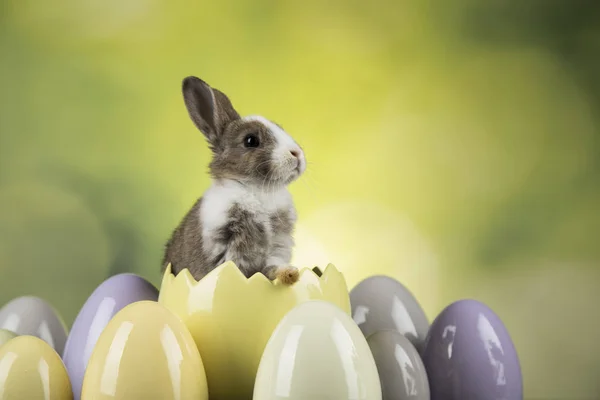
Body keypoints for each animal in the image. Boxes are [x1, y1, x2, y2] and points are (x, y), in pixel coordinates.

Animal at [161, 76, 304, 286]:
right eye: (251, 140)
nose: (297, 153)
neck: (257, 190)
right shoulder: (226, 244)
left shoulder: (278, 244)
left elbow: (272, 266)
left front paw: (290, 274)